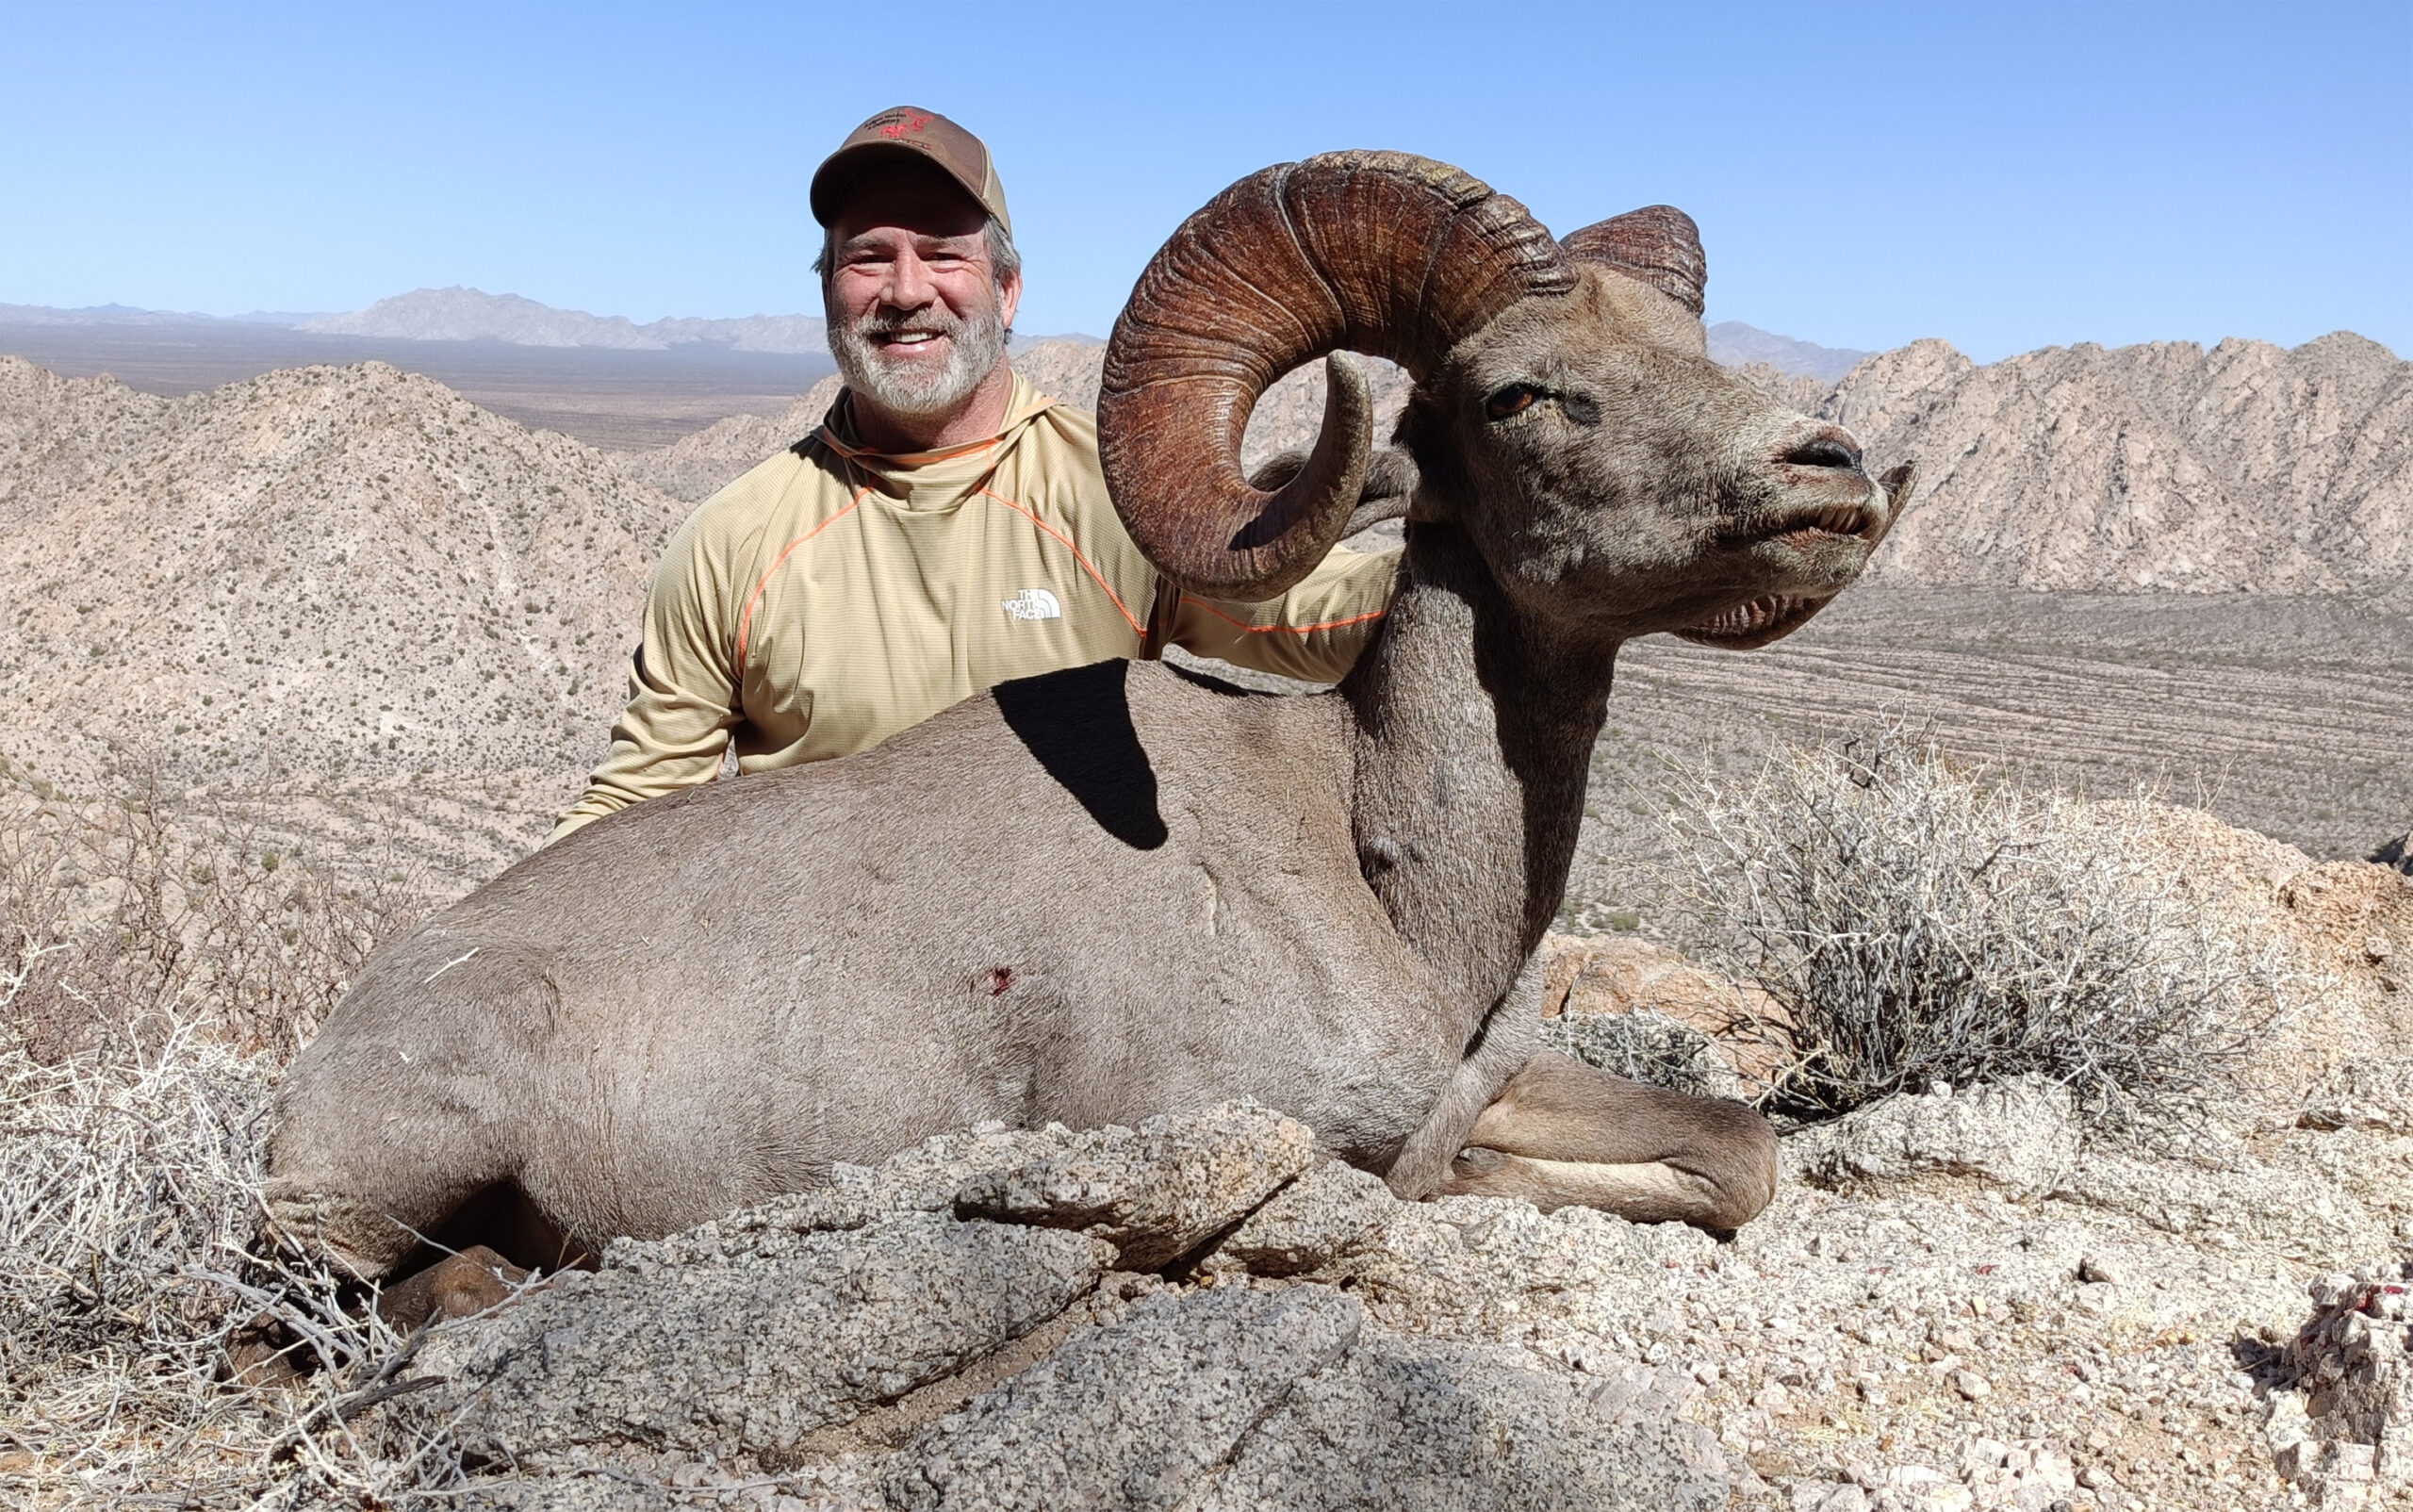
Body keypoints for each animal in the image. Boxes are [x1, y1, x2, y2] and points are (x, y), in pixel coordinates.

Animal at [266, 152, 1914, 1301]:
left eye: (1704, 360)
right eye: (1520, 396)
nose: (1833, 476)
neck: (1375, 860)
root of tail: (346, 1034)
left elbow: (1741, 1156)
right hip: (378, 1189)